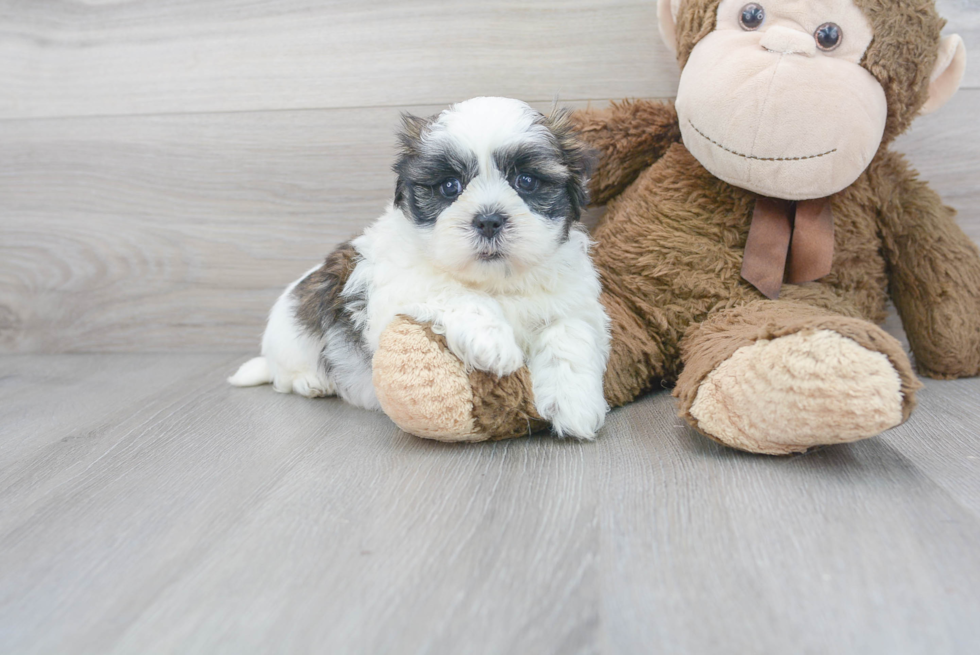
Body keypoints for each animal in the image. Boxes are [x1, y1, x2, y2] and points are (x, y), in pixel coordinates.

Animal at [233, 97, 608, 440]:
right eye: (449, 186)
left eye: (527, 181)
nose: (488, 220)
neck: (494, 281)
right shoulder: (396, 288)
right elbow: (453, 292)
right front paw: (493, 341)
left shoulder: (575, 304)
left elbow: (569, 334)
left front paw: (574, 403)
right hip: (291, 339)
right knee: (284, 376)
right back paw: (309, 381)